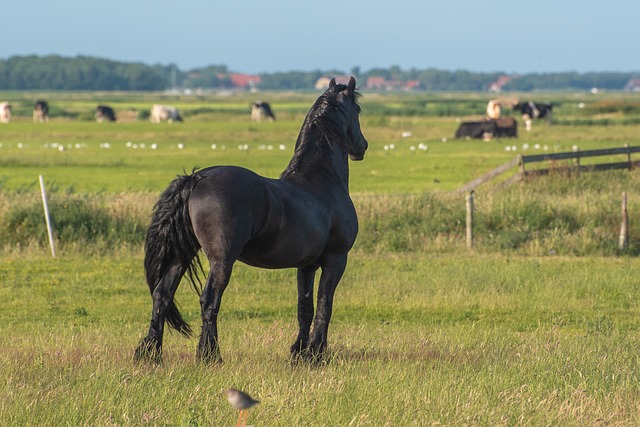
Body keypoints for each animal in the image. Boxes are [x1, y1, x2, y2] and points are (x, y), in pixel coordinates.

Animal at [132, 77, 368, 364]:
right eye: (357, 110)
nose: (362, 147)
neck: (321, 179)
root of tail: (196, 178)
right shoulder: (335, 260)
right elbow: (325, 305)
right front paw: (316, 353)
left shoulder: (306, 265)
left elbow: (305, 307)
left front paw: (300, 353)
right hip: (221, 261)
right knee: (209, 300)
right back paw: (210, 355)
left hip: (181, 255)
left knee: (162, 296)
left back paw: (150, 353)